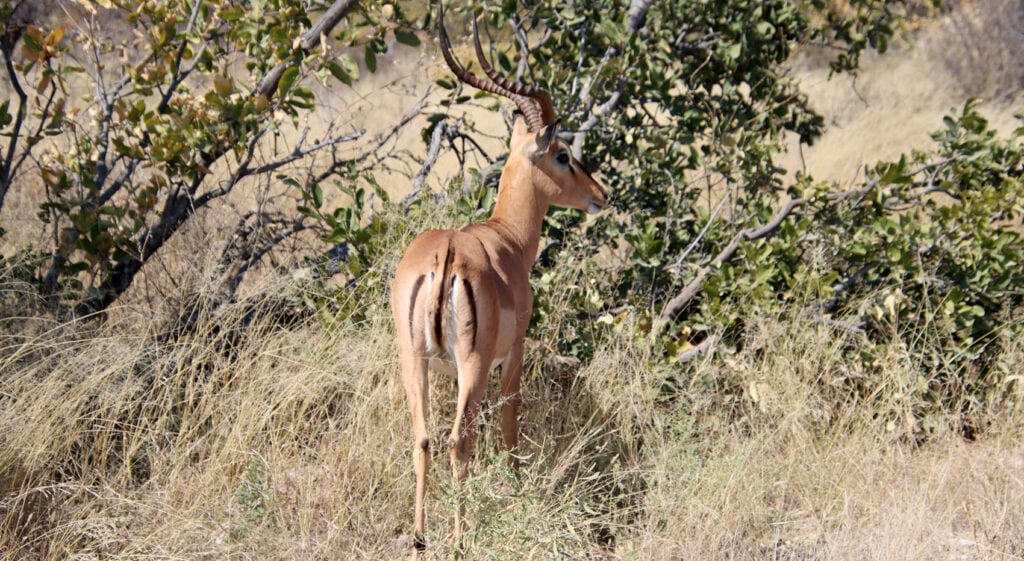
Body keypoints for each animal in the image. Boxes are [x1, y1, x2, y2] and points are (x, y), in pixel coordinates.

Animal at [390, 8, 608, 553]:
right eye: (562, 155)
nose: (601, 195)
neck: (506, 239)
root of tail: (444, 255)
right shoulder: (513, 353)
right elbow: (509, 424)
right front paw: (516, 486)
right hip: (471, 363)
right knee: (457, 439)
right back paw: (460, 536)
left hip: (413, 360)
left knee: (423, 437)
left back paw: (421, 536)